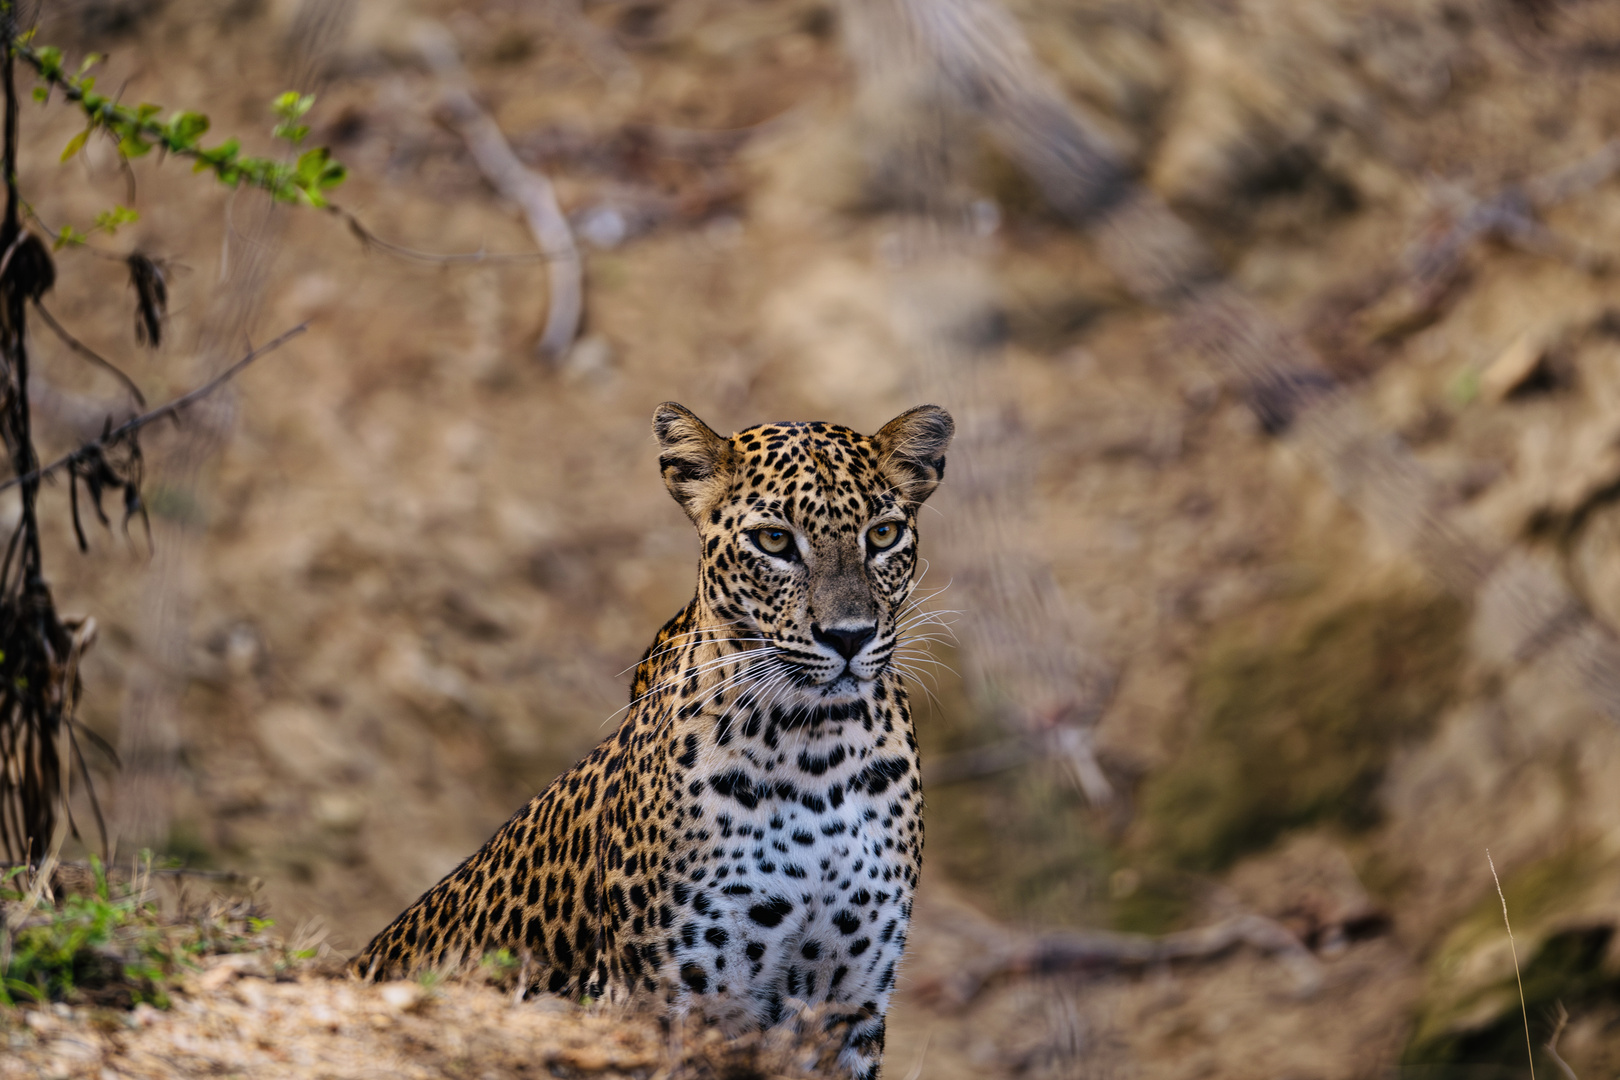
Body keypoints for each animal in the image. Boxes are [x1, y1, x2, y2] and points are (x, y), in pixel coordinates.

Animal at [349, 401, 952, 1075]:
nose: (849, 636)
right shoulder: (669, 993)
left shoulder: (849, 1007)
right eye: (774, 541)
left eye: (883, 535)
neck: (817, 749)